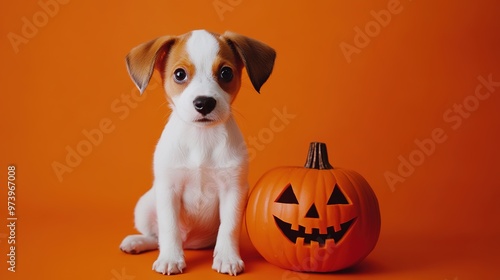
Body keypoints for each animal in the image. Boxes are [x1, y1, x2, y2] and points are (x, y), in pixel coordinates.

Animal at [120, 30, 278, 276]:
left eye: (225, 72)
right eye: (179, 74)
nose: (204, 103)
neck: (201, 139)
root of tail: (190, 242)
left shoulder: (234, 190)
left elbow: (229, 228)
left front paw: (227, 257)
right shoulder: (168, 190)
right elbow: (169, 228)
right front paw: (170, 258)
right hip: (144, 206)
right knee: (156, 236)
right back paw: (138, 242)